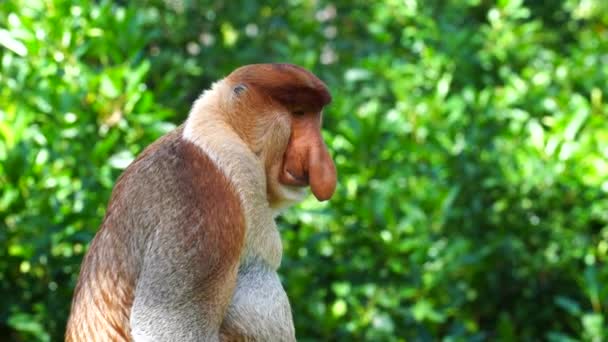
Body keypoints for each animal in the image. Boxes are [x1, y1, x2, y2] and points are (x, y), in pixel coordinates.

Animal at [66, 62, 338, 340]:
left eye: (314, 115)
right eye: (299, 113)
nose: (322, 162)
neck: (223, 131)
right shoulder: (208, 200)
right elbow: (166, 323)